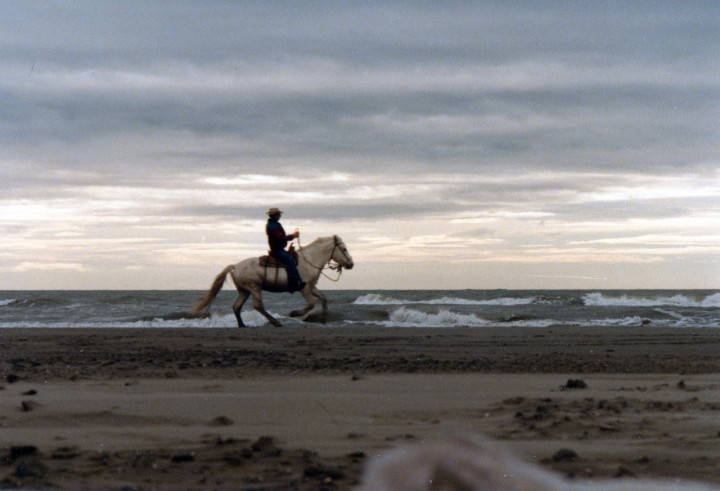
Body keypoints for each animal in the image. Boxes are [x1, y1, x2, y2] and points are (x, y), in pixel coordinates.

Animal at [188, 236, 352, 328]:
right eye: (344, 249)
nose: (351, 264)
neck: (309, 260)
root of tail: (235, 266)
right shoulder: (304, 289)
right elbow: (311, 304)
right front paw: (294, 314)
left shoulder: (310, 287)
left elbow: (323, 299)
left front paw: (323, 319)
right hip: (254, 288)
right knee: (258, 306)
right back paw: (275, 322)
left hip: (244, 290)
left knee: (236, 307)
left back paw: (242, 325)